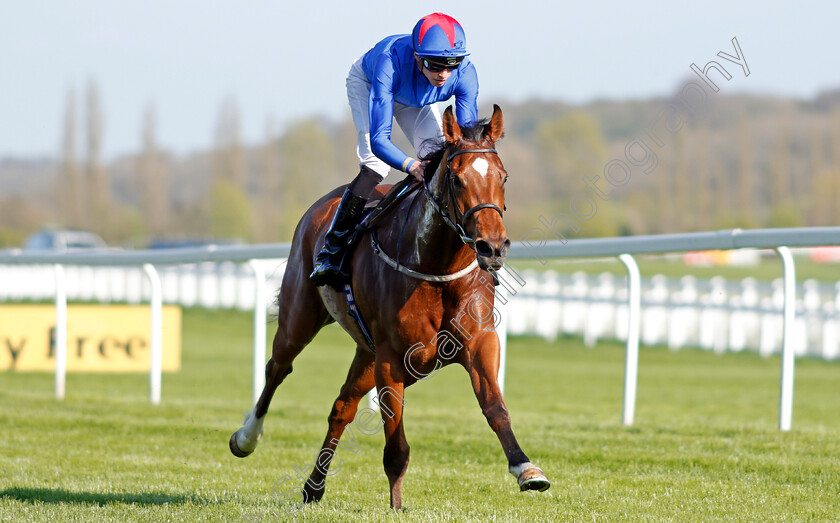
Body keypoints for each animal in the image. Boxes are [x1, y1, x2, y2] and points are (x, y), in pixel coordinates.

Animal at [230, 104, 552, 510]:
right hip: (300, 317)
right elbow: (396, 446)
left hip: (364, 352)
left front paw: (527, 469)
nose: (493, 247)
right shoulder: (391, 358)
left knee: (341, 408)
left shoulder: (479, 343)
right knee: (277, 368)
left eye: (503, 177)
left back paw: (314, 486)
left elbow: (495, 407)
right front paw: (397, 506)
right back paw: (246, 437)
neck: (435, 267)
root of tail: (321, 205)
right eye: (457, 179)